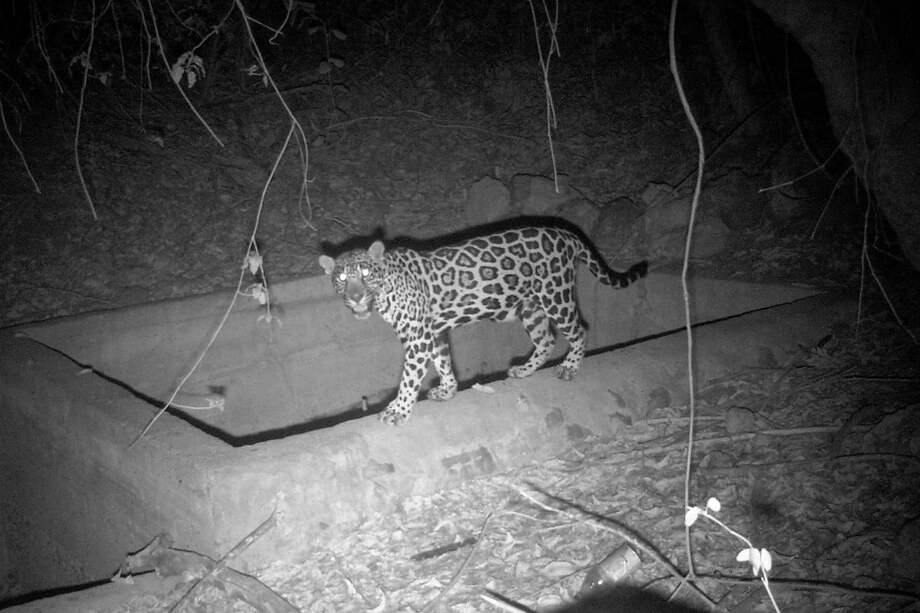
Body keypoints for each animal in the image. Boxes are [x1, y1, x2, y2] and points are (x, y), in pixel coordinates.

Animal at [318, 225, 647, 425]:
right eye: (342, 278)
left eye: (365, 273)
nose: (356, 296)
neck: (387, 289)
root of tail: (564, 233)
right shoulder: (433, 333)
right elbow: (443, 361)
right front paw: (447, 390)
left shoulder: (418, 339)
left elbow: (409, 377)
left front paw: (398, 410)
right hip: (530, 307)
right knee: (546, 339)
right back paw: (524, 370)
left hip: (556, 296)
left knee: (579, 330)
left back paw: (569, 367)